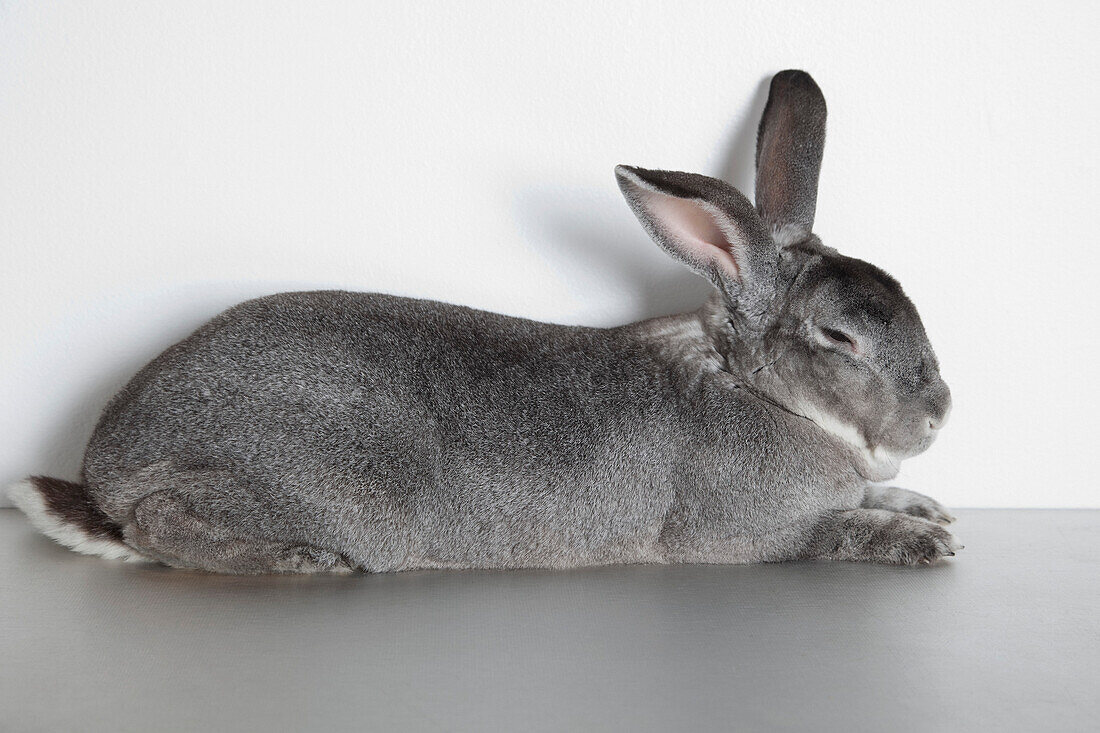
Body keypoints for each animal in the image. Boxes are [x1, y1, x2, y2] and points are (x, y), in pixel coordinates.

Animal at [8, 69, 959, 572]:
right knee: (157, 523)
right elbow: (834, 529)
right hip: (320, 489)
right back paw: (301, 560)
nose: (939, 412)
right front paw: (920, 538)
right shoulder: (751, 532)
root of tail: (106, 464)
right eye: (839, 337)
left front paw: (926, 503)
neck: (754, 388)